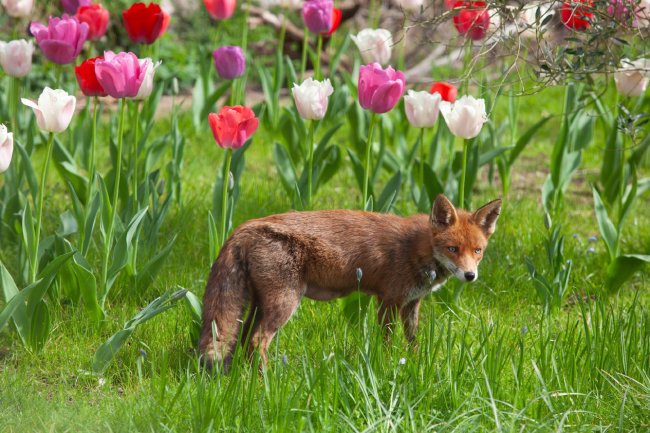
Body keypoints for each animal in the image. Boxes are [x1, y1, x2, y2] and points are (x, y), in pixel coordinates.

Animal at [199, 194, 502, 370]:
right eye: (453, 249)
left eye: (478, 251)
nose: (470, 276)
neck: (419, 249)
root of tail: (246, 226)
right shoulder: (388, 301)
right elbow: (386, 342)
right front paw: (387, 366)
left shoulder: (411, 303)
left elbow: (412, 340)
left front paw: (416, 364)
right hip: (283, 304)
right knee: (257, 341)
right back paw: (266, 384)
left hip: (258, 305)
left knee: (243, 339)